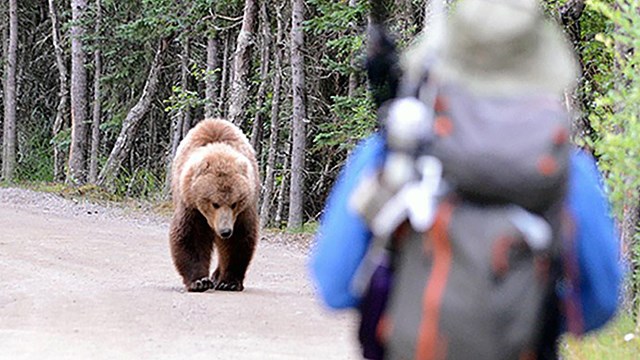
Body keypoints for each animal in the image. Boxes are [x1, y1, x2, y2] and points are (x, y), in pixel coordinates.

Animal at [171, 118, 262, 292]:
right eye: (214, 203)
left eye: (234, 203)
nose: (225, 231)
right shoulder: (191, 205)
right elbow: (191, 236)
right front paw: (199, 281)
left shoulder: (242, 212)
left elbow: (238, 240)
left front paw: (229, 282)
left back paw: (217, 275)